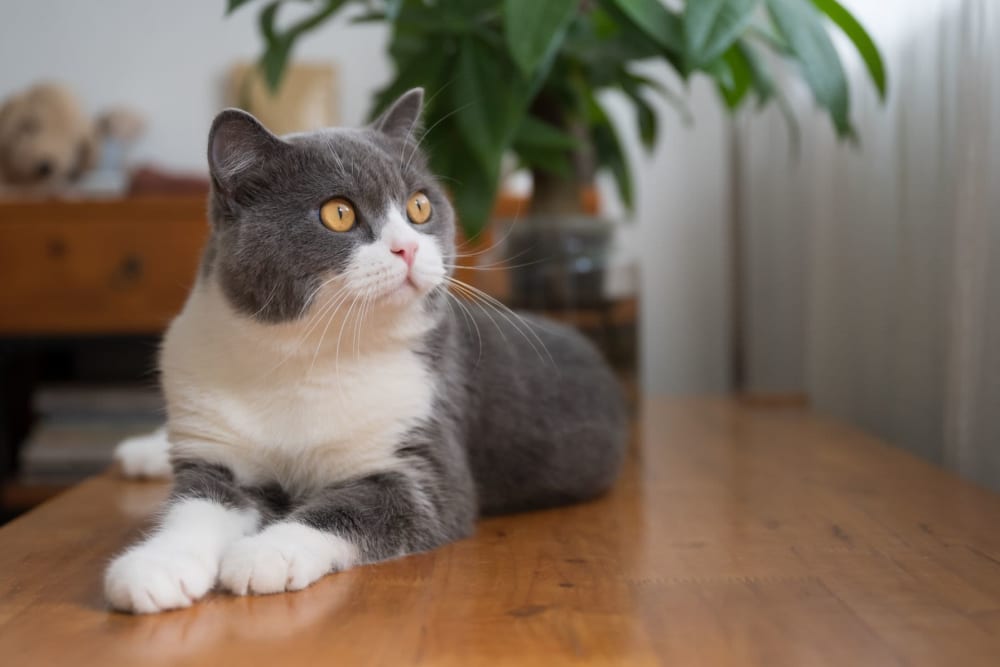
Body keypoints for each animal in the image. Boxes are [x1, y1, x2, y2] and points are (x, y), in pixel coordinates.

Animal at [105, 90, 628, 616]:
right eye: (338, 213)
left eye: (420, 206)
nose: (407, 249)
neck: (304, 357)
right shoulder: (217, 450)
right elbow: (197, 506)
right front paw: (155, 567)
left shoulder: (424, 461)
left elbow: (352, 508)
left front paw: (265, 554)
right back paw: (144, 451)